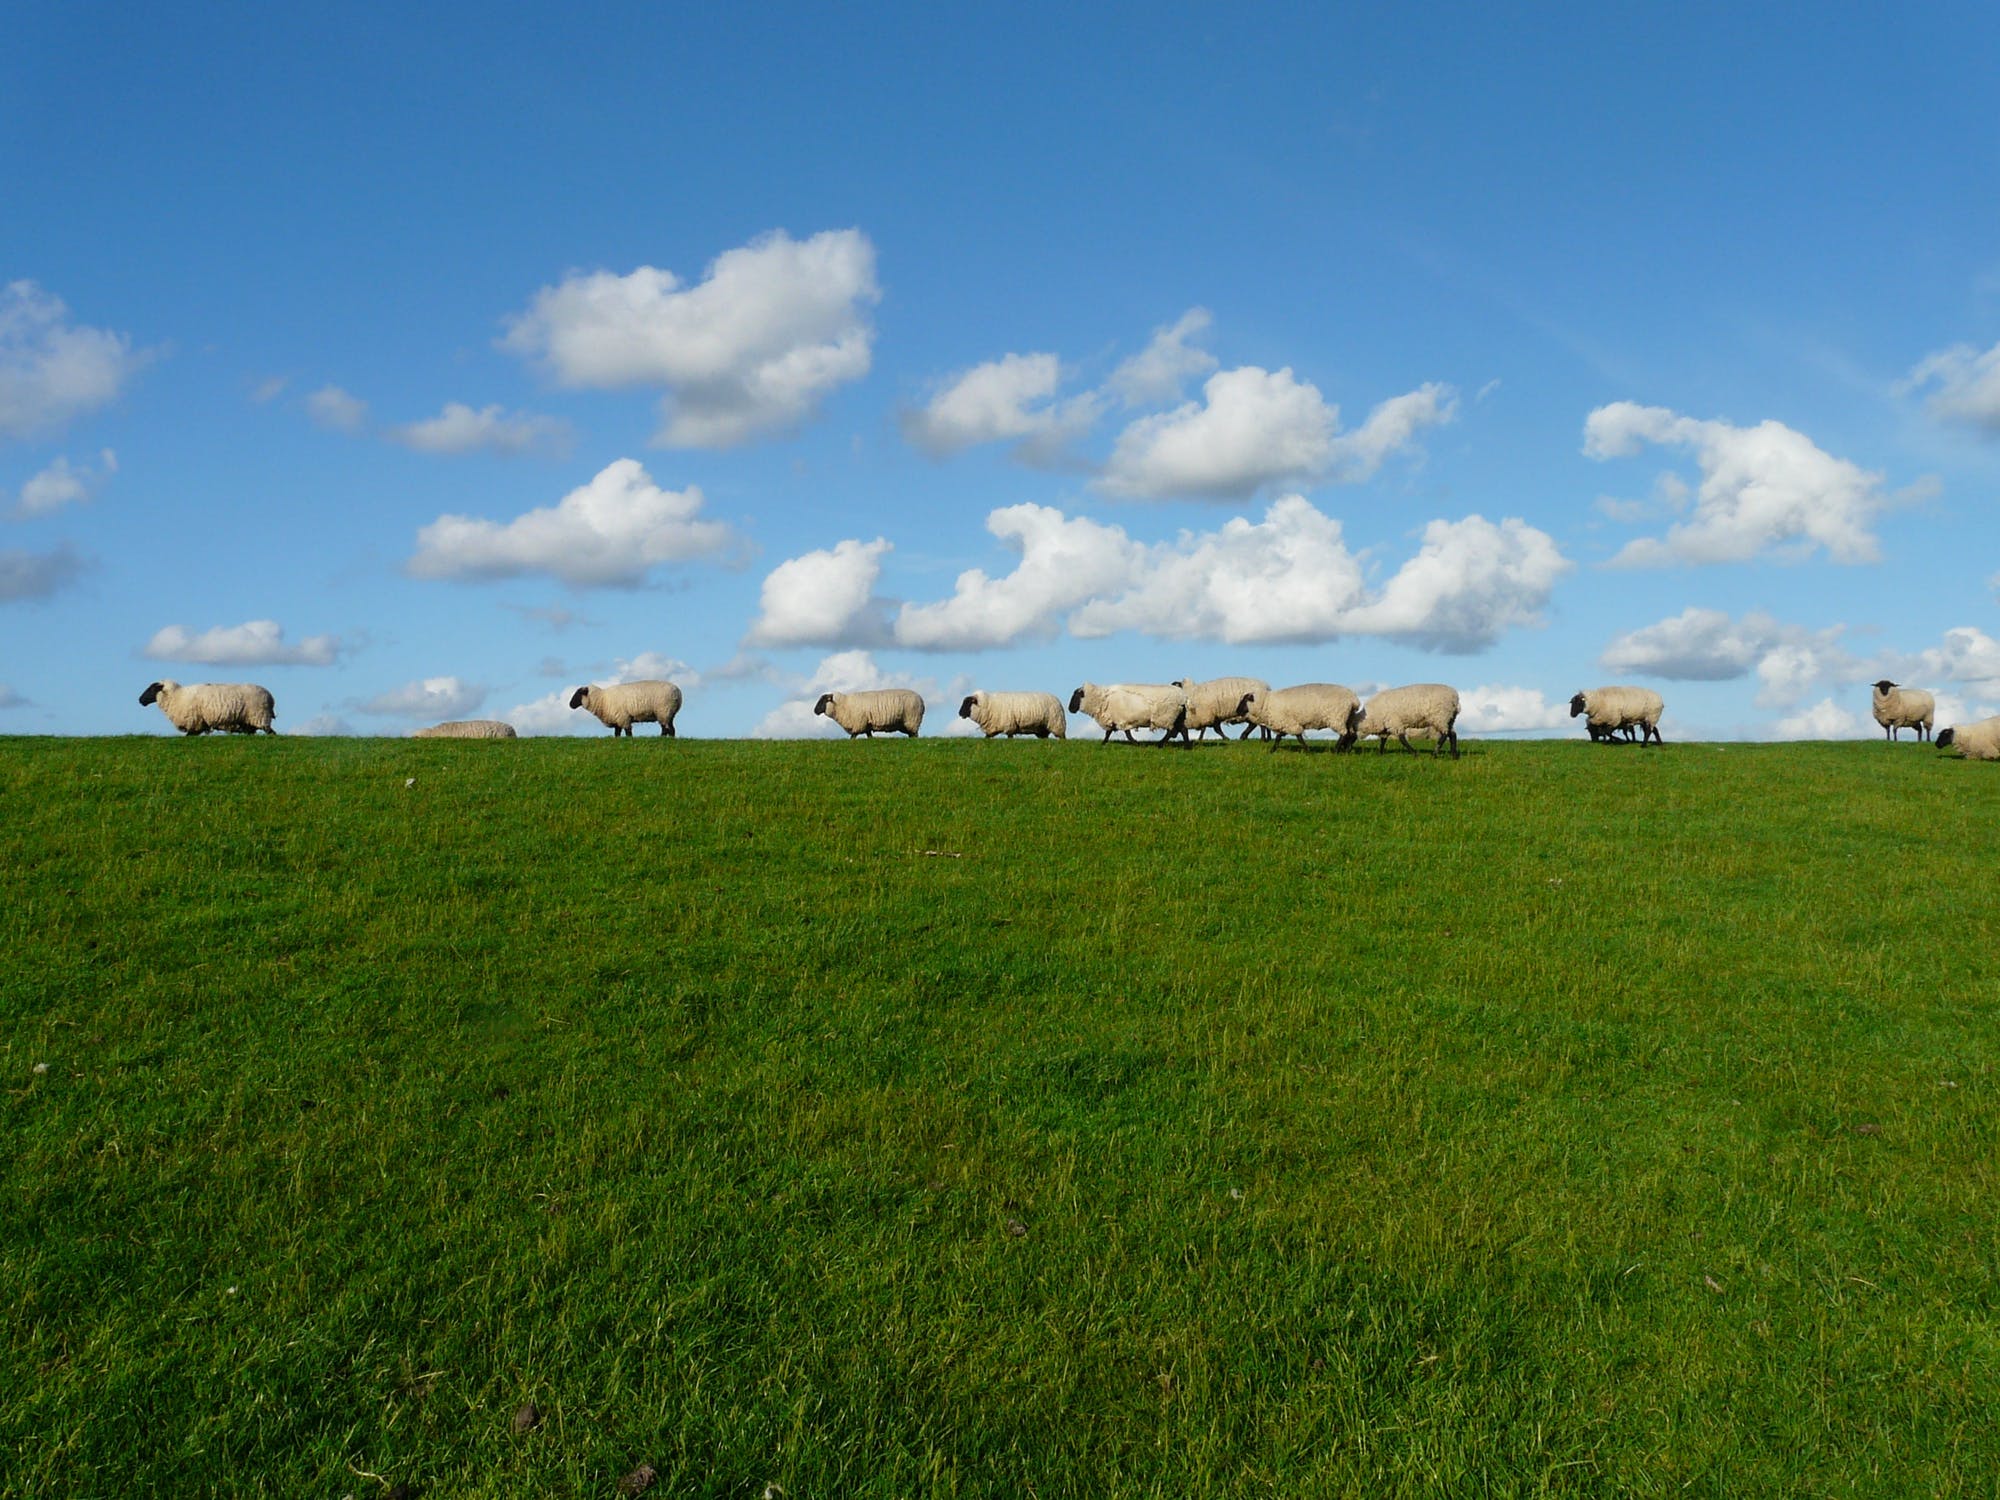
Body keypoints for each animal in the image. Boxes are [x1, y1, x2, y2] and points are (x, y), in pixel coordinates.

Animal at [138, 684, 278, 736]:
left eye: (152, 688)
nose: (140, 700)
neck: (177, 696)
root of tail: (270, 697)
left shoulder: (195, 722)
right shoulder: (199, 724)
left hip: (259, 716)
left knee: (271, 732)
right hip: (248, 722)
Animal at [1240, 680, 1368, 752]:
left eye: (1245, 700)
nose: (1238, 710)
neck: (1266, 703)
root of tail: (1354, 700)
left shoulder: (1288, 722)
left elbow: (1298, 737)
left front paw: (1307, 750)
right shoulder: (1284, 723)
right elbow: (1279, 738)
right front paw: (1272, 750)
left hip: (1337, 717)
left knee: (1344, 734)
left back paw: (1336, 750)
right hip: (1348, 718)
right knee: (1351, 734)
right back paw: (1347, 749)